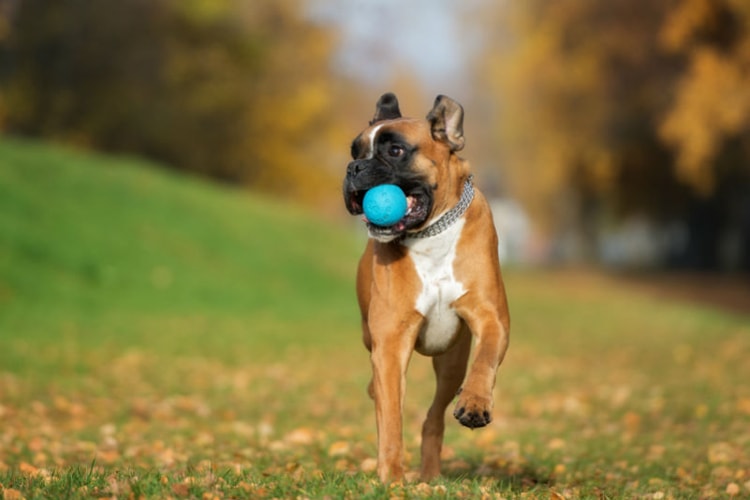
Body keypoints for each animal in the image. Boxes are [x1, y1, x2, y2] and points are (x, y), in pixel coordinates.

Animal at [346, 93, 512, 480]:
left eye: (395, 151)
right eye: (354, 151)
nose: (353, 168)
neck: (431, 232)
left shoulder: (492, 318)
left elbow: (485, 358)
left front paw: (475, 401)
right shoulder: (390, 344)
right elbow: (391, 419)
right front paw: (391, 478)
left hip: (450, 363)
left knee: (434, 418)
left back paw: (431, 475)